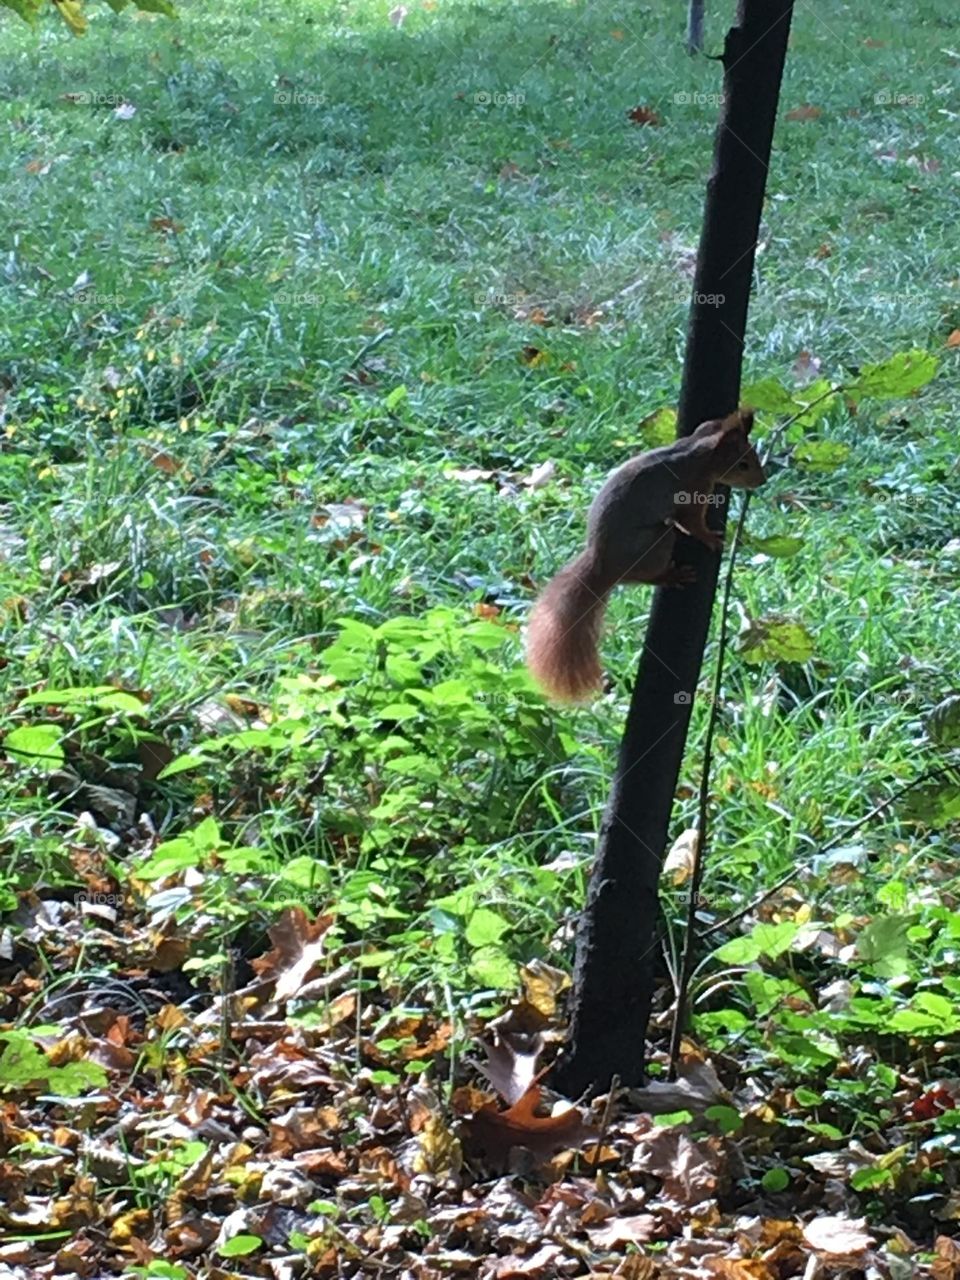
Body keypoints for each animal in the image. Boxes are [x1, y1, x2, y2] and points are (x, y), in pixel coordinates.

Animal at [525, 409, 766, 702]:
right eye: (743, 464)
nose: (762, 481)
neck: (699, 455)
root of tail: (604, 565)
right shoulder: (692, 492)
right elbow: (691, 523)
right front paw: (711, 538)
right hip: (656, 543)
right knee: (644, 574)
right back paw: (670, 576)